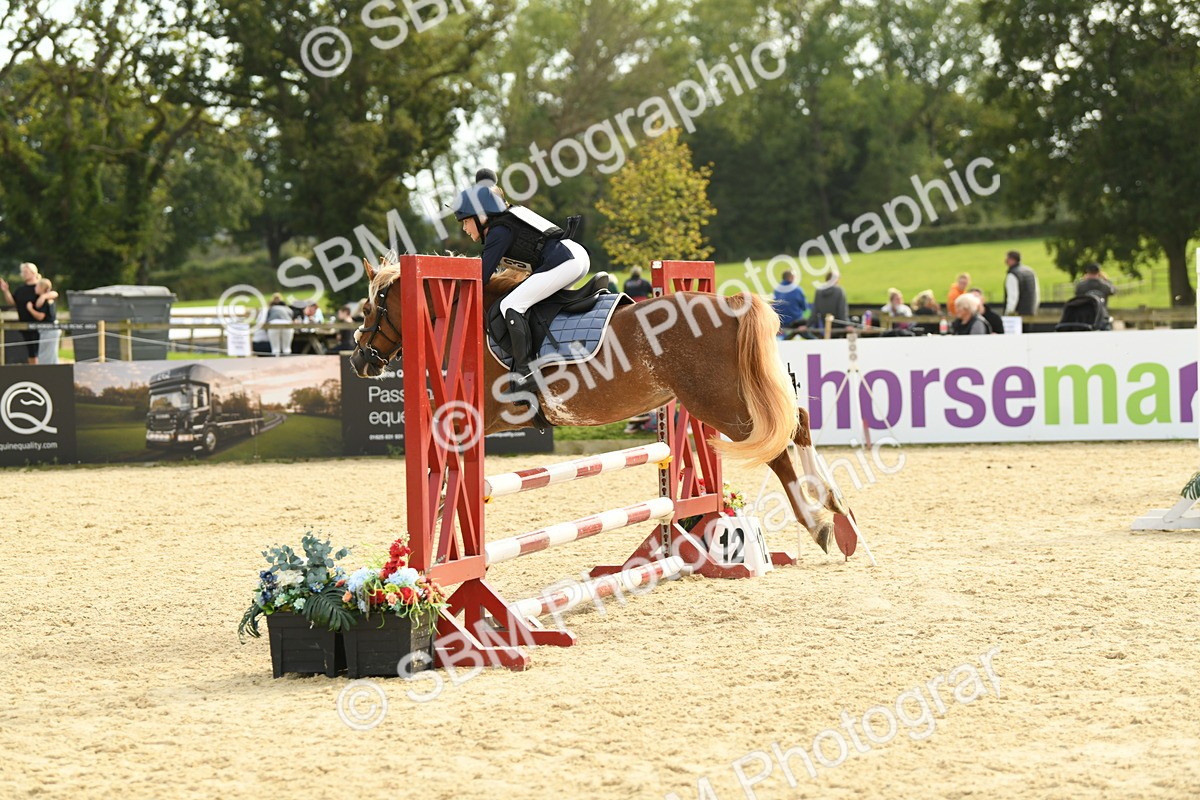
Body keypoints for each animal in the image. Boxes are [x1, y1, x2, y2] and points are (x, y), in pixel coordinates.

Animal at [349, 256, 849, 553]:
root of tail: (728, 305)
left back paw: (818, 522)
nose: (358, 360)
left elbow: (443, 473)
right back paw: (835, 502)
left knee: (779, 448)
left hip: (718, 404)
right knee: (799, 422)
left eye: (369, 308)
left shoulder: (478, 417)